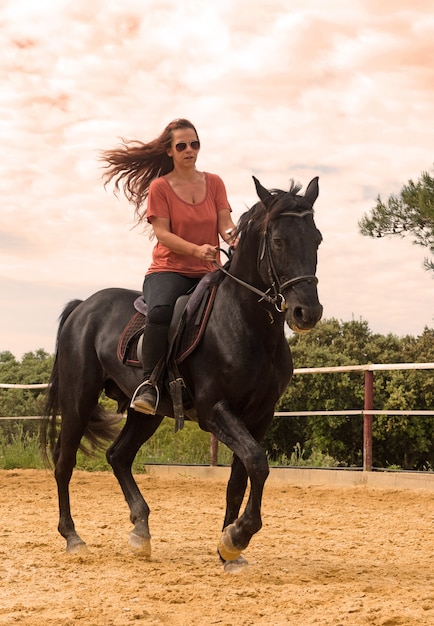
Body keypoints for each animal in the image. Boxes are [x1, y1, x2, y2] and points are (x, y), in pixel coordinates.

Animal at [42, 177, 324, 572]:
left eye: (317, 239)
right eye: (279, 241)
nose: (307, 312)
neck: (246, 324)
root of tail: (84, 307)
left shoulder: (260, 415)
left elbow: (241, 478)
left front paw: (228, 550)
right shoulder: (215, 410)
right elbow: (258, 463)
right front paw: (237, 536)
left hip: (145, 413)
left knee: (118, 456)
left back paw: (140, 531)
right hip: (78, 398)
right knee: (64, 461)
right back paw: (73, 537)